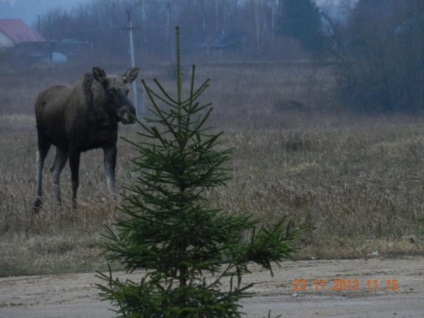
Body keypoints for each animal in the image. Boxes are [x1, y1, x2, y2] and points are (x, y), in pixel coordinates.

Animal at [33, 65, 139, 212]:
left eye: (127, 91)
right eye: (111, 90)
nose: (130, 114)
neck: (99, 117)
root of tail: (39, 96)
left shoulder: (110, 145)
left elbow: (111, 180)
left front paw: (115, 206)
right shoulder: (75, 147)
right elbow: (75, 181)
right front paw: (74, 208)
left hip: (62, 146)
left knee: (54, 169)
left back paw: (59, 205)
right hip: (43, 137)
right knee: (39, 161)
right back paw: (37, 203)